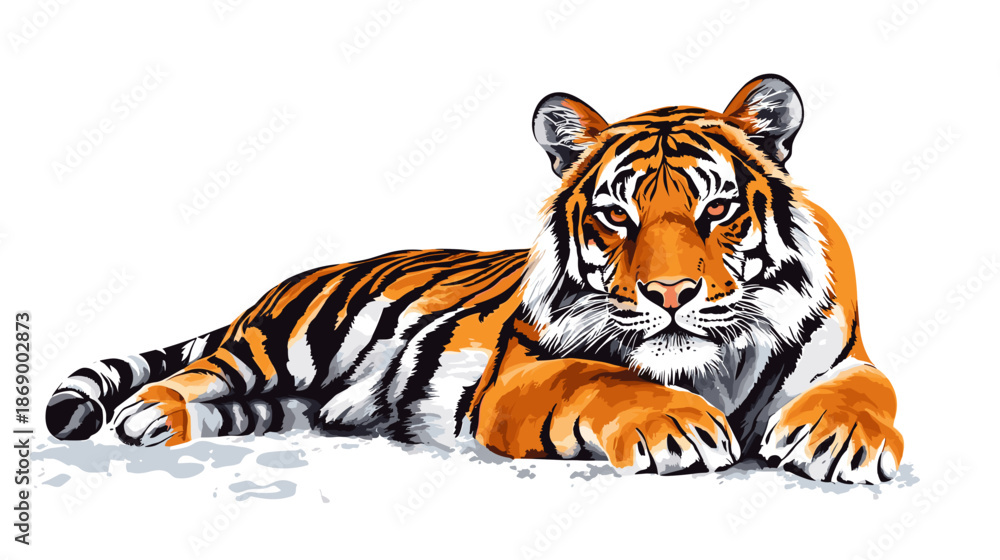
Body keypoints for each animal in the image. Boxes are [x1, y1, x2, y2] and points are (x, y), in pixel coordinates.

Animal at [45, 74, 902, 484]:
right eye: (617, 217)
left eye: (715, 210)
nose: (669, 296)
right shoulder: (521, 375)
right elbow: (603, 379)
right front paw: (678, 425)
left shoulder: (842, 354)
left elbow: (871, 389)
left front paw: (838, 440)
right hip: (288, 341)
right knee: (204, 368)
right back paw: (150, 416)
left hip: (283, 401)